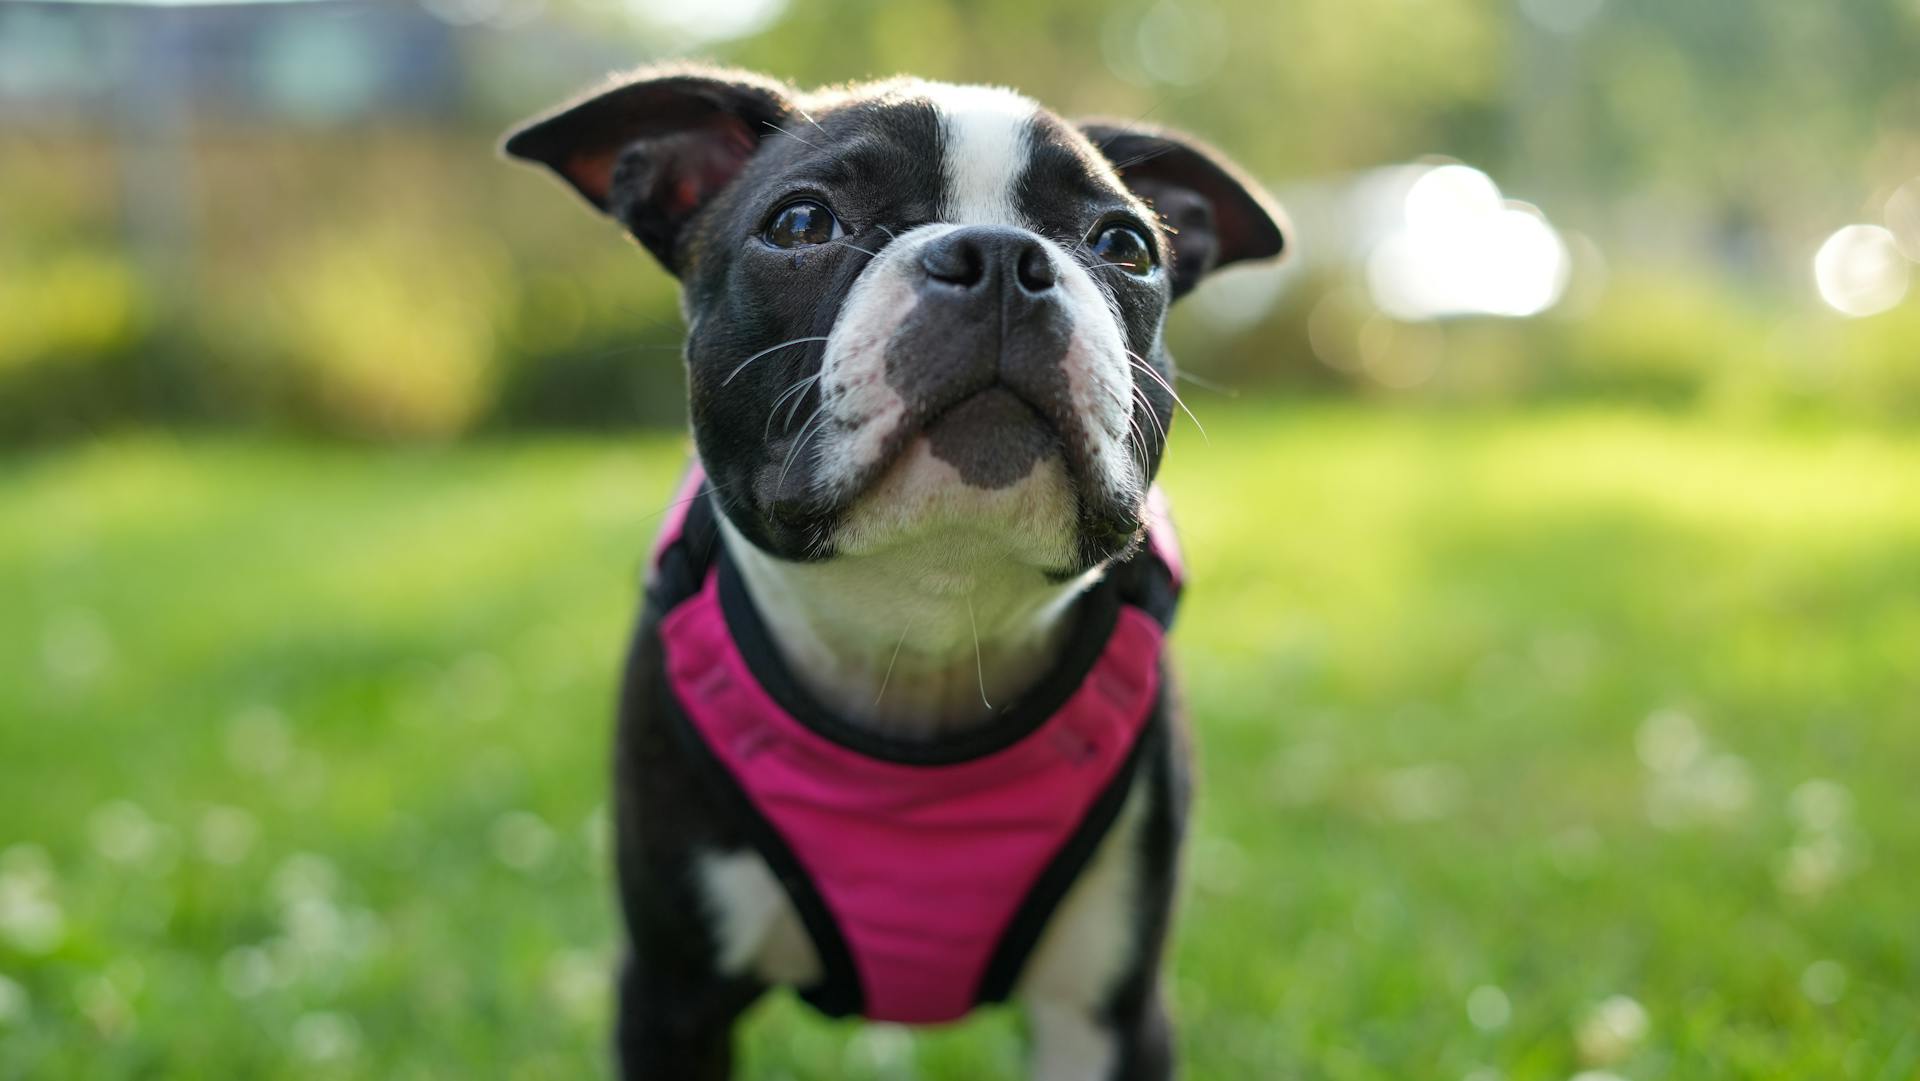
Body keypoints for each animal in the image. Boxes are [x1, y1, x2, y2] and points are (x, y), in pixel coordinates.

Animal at [506, 67, 1290, 1081]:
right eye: (802, 223)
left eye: (1126, 245)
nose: (1001, 256)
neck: (922, 639)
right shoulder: (671, 997)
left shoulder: (1106, 1013)